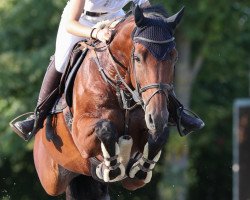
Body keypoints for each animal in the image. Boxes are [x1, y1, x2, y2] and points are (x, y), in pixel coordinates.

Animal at [33, 5, 184, 199]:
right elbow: (105, 128)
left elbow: (159, 136)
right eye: (138, 58)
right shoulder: (81, 135)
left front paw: (140, 169)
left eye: (174, 58)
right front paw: (111, 168)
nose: (157, 117)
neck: (120, 90)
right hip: (51, 177)